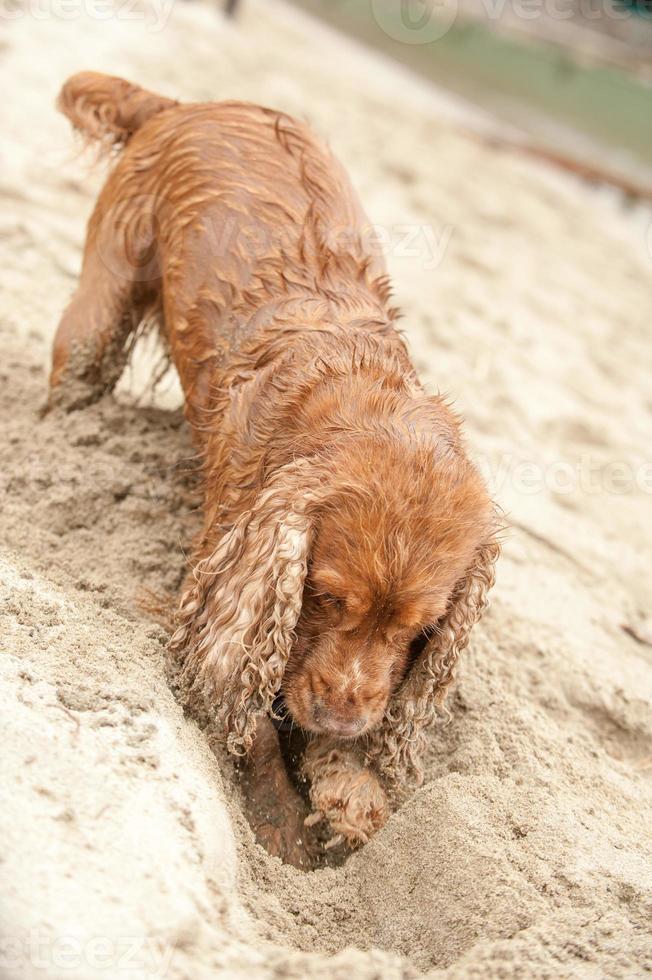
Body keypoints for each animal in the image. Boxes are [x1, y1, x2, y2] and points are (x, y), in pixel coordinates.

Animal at [49, 74, 500, 864]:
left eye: (420, 629)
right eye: (323, 597)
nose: (342, 717)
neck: (359, 394)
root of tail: (186, 105)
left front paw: (348, 782)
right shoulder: (234, 577)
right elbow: (253, 707)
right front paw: (283, 821)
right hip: (98, 312)